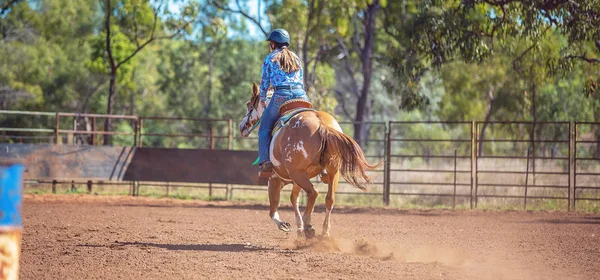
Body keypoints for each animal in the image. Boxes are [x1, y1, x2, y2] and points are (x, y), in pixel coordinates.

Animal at [239, 83, 380, 238]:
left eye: (249, 105)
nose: (242, 127)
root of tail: (320, 123)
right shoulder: (296, 181)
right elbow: (294, 198)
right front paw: (299, 228)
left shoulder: (275, 179)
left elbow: (274, 208)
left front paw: (285, 225)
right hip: (332, 171)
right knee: (329, 199)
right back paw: (324, 232)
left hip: (297, 174)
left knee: (313, 192)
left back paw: (308, 226)